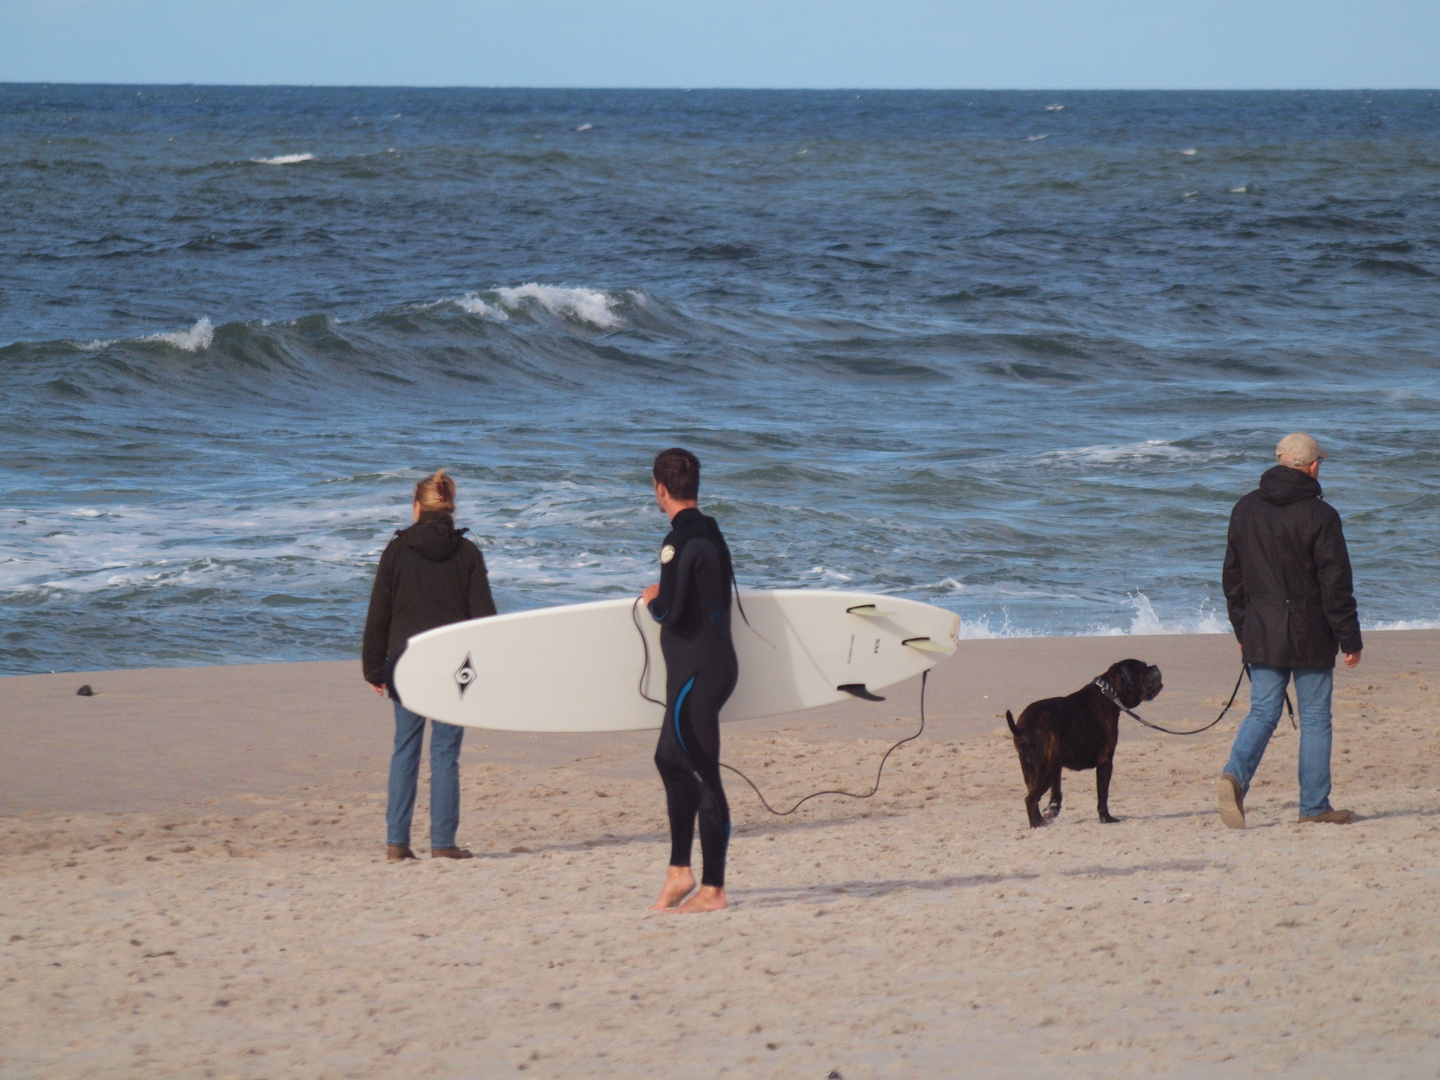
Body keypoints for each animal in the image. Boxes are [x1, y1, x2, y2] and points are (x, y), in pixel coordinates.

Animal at [1008, 659, 1163, 829]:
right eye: (1143, 669)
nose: (1155, 666)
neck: (1108, 694)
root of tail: (1022, 727)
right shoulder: (1105, 763)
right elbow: (1102, 796)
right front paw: (1106, 818)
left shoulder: (1056, 765)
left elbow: (1056, 792)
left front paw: (1052, 809)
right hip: (1044, 771)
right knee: (1030, 800)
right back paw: (1037, 825)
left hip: (1033, 769)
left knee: (1033, 798)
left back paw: (1041, 822)